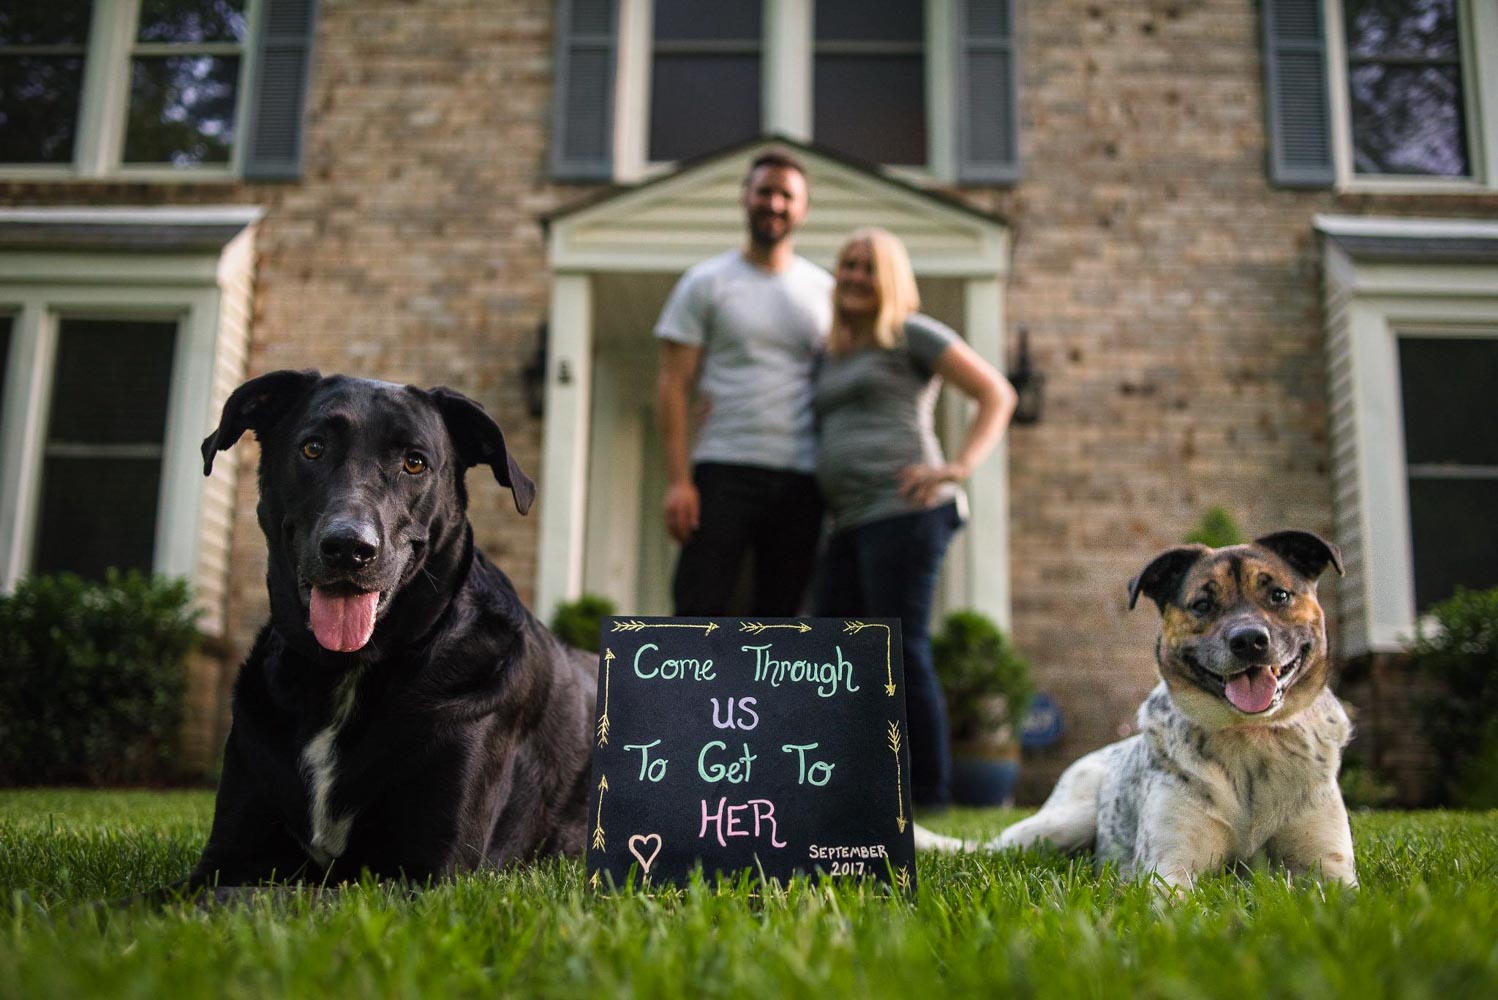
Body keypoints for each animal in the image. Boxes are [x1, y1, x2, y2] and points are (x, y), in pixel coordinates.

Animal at [179, 371, 590, 886]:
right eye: (312, 448)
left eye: (414, 462)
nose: (348, 548)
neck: (347, 673)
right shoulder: (228, 857)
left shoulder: (424, 872)